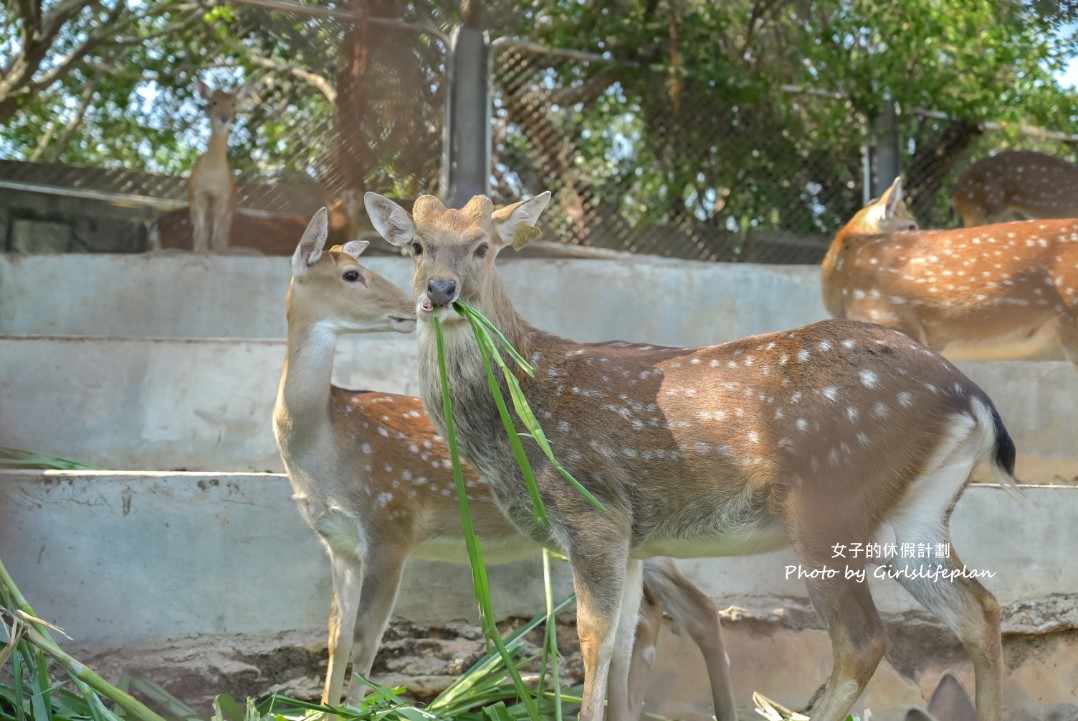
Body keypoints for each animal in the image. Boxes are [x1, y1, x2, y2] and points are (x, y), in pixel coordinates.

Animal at [188, 77, 255, 252]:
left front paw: (218, 251)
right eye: (214, 102)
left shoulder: (223, 197)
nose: (224, 118)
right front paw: (199, 251)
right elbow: (199, 233)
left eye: (233, 104)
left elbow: (218, 236)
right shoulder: (198, 193)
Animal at [273, 208, 737, 719]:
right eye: (352, 274)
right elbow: (336, 640)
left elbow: (365, 640)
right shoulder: (340, 545)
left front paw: (359, 710)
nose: (410, 306)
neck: (326, 447)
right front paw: (321, 708)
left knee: (692, 607)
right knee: (666, 613)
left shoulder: (390, 524)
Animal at [364, 189, 1017, 719]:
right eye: (417, 247)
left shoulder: (593, 508)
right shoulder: (631, 539)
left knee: (863, 640)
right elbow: (623, 645)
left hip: (830, 502)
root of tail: (972, 396)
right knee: (980, 610)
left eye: (483, 247)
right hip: (915, 515)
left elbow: (593, 640)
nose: (440, 291)